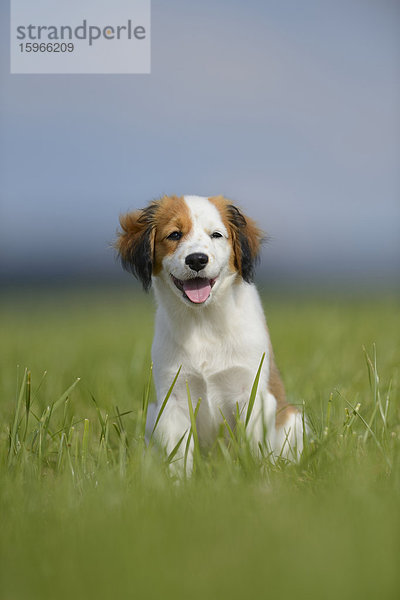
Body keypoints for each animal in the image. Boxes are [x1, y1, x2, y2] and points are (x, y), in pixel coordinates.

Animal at [117, 195, 304, 472]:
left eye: (216, 235)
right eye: (174, 234)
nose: (196, 260)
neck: (203, 323)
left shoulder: (252, 393)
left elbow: (252, 449)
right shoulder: (173, 400)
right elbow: (178, 459)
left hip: (294, 419)